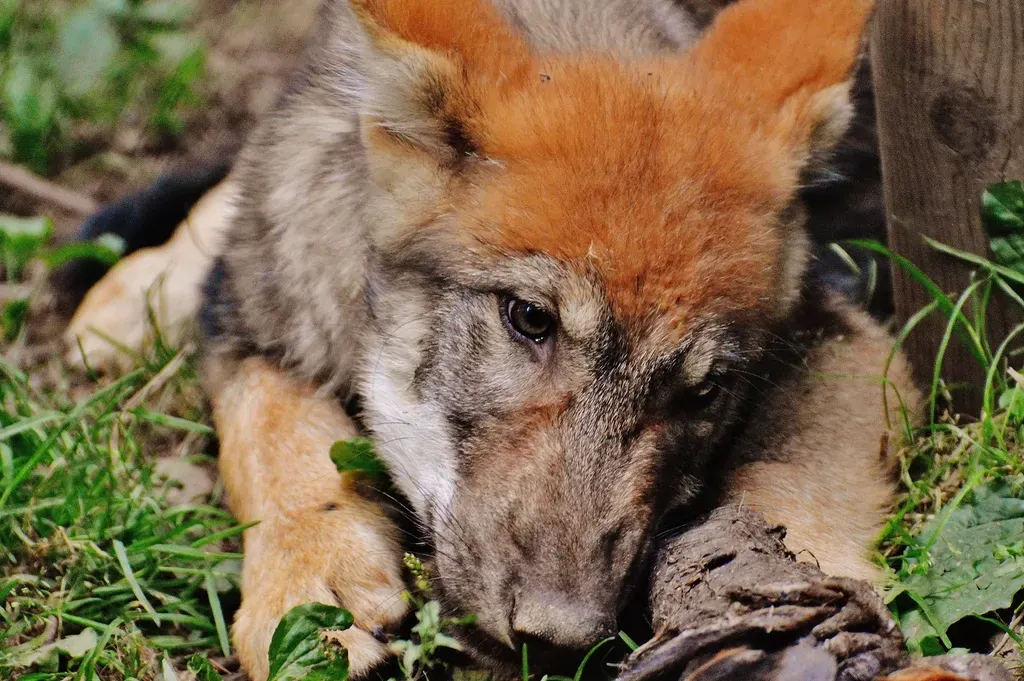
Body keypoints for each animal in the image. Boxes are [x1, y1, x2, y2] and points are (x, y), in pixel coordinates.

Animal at [64, 0, 919, 678]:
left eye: (705, 391)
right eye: (529, 318)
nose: (560, 638)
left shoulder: (849, 338)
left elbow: (792, 481)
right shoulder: (254, 318)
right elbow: (271, 435)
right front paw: (309, 578)